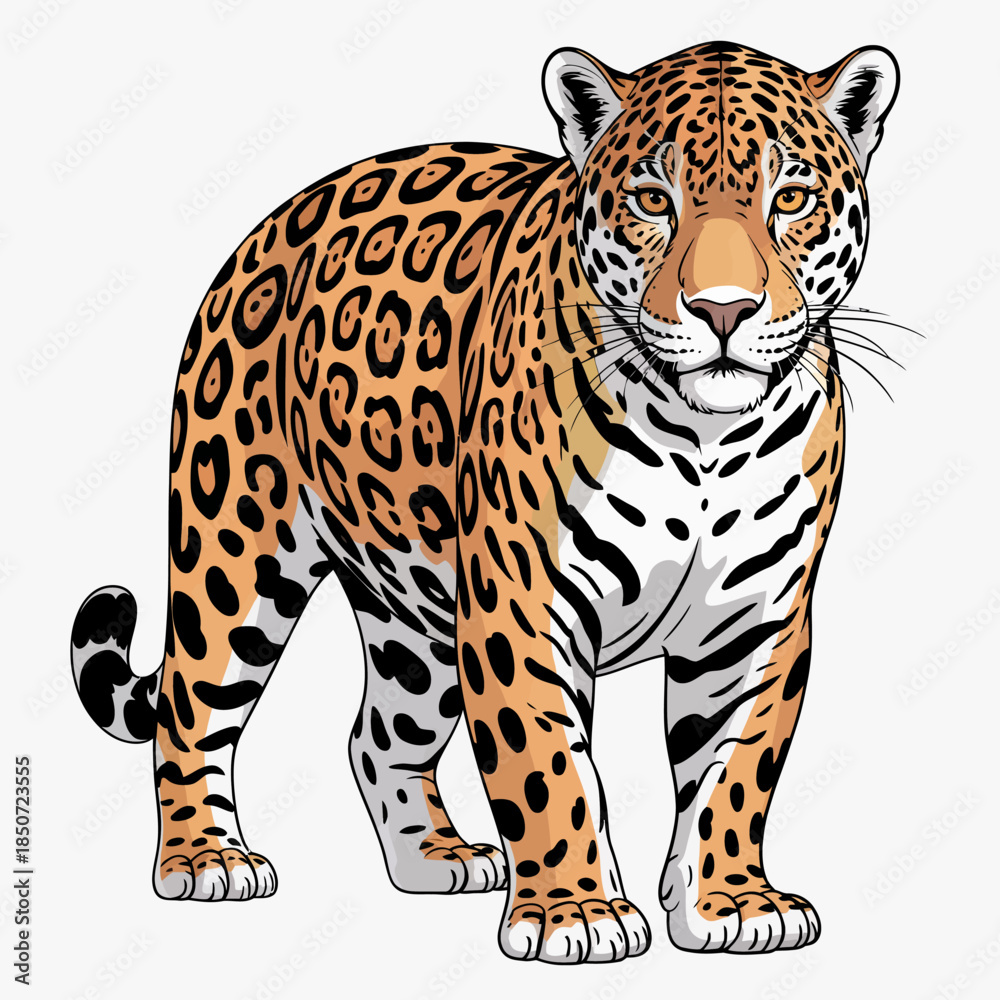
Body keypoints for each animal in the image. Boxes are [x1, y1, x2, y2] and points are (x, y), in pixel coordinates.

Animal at [71, 40, 899, 963]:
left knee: (375, 736)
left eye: (790, 199)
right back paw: (205, 859)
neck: (705, 439)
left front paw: (732, 905)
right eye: (654, 200)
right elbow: (546, 763)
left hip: (414, 614)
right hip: (234, 546)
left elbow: (736, 771)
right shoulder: (522, 602)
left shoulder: (758, 618)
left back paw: (435, 857)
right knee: (188, 706)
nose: (725, 311)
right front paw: (577, 914)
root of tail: (273, 223)